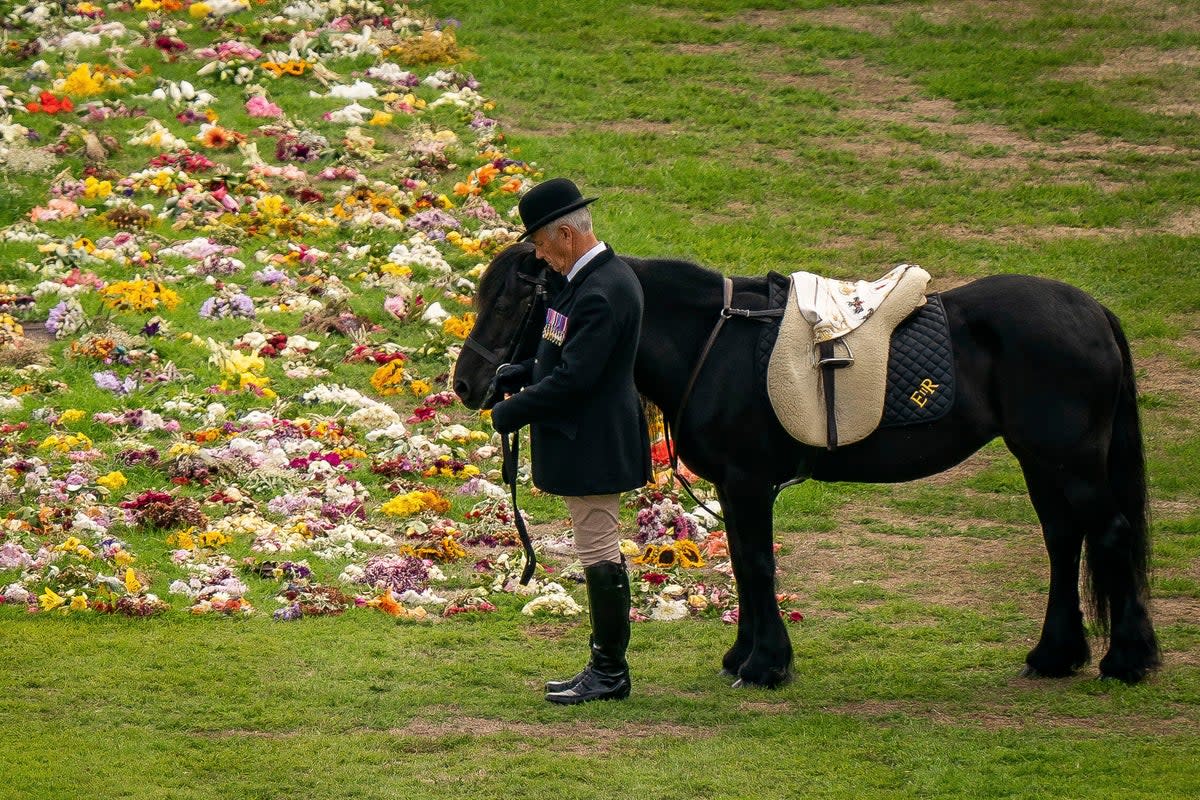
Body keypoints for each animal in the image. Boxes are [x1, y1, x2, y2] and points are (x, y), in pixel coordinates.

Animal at [454, 242, 1161, 687]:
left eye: (510, 303)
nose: (468, 385)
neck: (713, 341)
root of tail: (1092, 311)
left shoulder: (747, 482)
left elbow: (757, 565)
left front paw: (765, 665)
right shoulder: (735, 486)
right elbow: (746, 565)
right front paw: (744, 657)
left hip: (1067, 460)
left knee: (1109, 533)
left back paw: (1128, 659)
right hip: (1043, 461)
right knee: (1064, 540)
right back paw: (1055, 655)